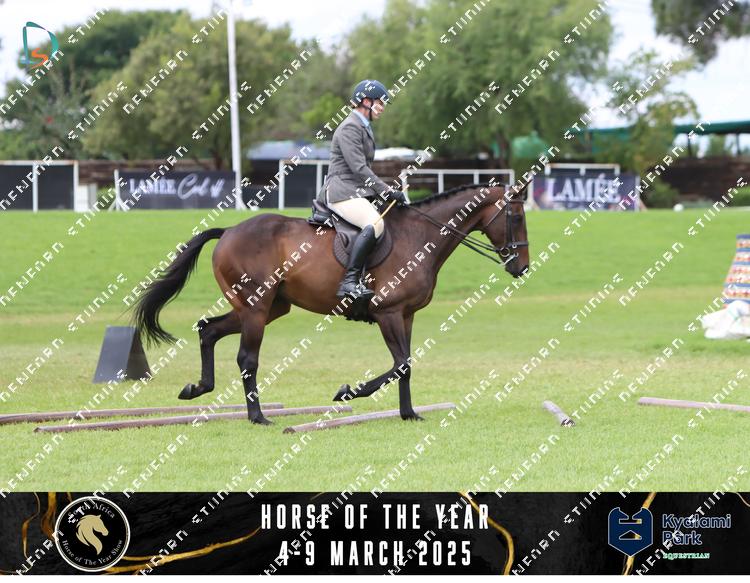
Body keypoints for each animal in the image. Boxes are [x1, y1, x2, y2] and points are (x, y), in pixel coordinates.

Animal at [132, 182, 529, 424]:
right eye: (516, 216)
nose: (522, 267)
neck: (420, 237)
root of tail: (228, 231)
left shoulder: (407, 316)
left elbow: (406, 365)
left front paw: (408, 413)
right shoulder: (387, 313)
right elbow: (400, 364)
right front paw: (348, 391)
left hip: (270, 307)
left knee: (208, 329)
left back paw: (197, 388)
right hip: (257, 308)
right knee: (246, 358)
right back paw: (258, 416)